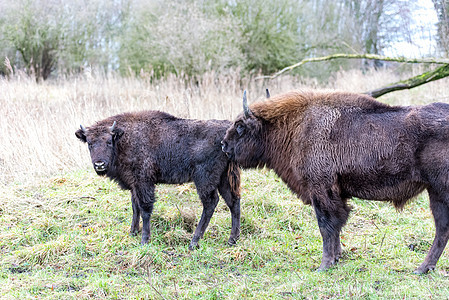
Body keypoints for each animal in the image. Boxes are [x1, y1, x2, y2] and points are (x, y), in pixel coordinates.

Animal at [75, 110, 240, 248]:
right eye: (89, 143)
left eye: (109, 141)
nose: (99, 164)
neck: (123, 138)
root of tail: (226, 132)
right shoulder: (134, 185)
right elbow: (135, 207)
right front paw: (133, 232)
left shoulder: (144, 182)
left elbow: (145, 209)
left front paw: (144, 240)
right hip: (224, 179)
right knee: (233, 201)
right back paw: (232, 240)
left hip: (204, 179)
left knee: (210, 203)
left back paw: (194, 242)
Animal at [221, 89, 449, 274]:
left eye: (240, 126)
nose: (224, 145)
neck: (296, 126)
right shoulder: (336, 194)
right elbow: (337, 225)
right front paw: (338, 257)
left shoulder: (321, 191)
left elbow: (326, 225)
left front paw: (324, 265)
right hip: (436, 193)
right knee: (442, 230)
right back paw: (424, 268)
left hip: (439, 191)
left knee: (441, 229)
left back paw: (421, 268)